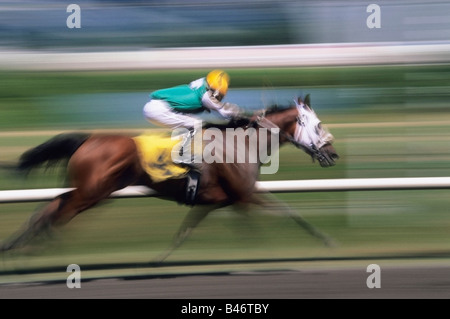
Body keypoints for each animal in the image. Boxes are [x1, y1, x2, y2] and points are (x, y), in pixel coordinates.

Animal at [0, 95, 338, 262]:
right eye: (318, 124)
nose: (333, 154)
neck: (242, 143)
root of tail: (88, 139)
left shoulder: (214, 202)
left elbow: (184, 233)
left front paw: (160, 259)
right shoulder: (246, 195)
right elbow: (288, 213)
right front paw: (324, 240)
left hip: (92, 191)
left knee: (50, 206)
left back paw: (17, 245)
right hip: (92, 192)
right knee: (58, 213)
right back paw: (40, 246)